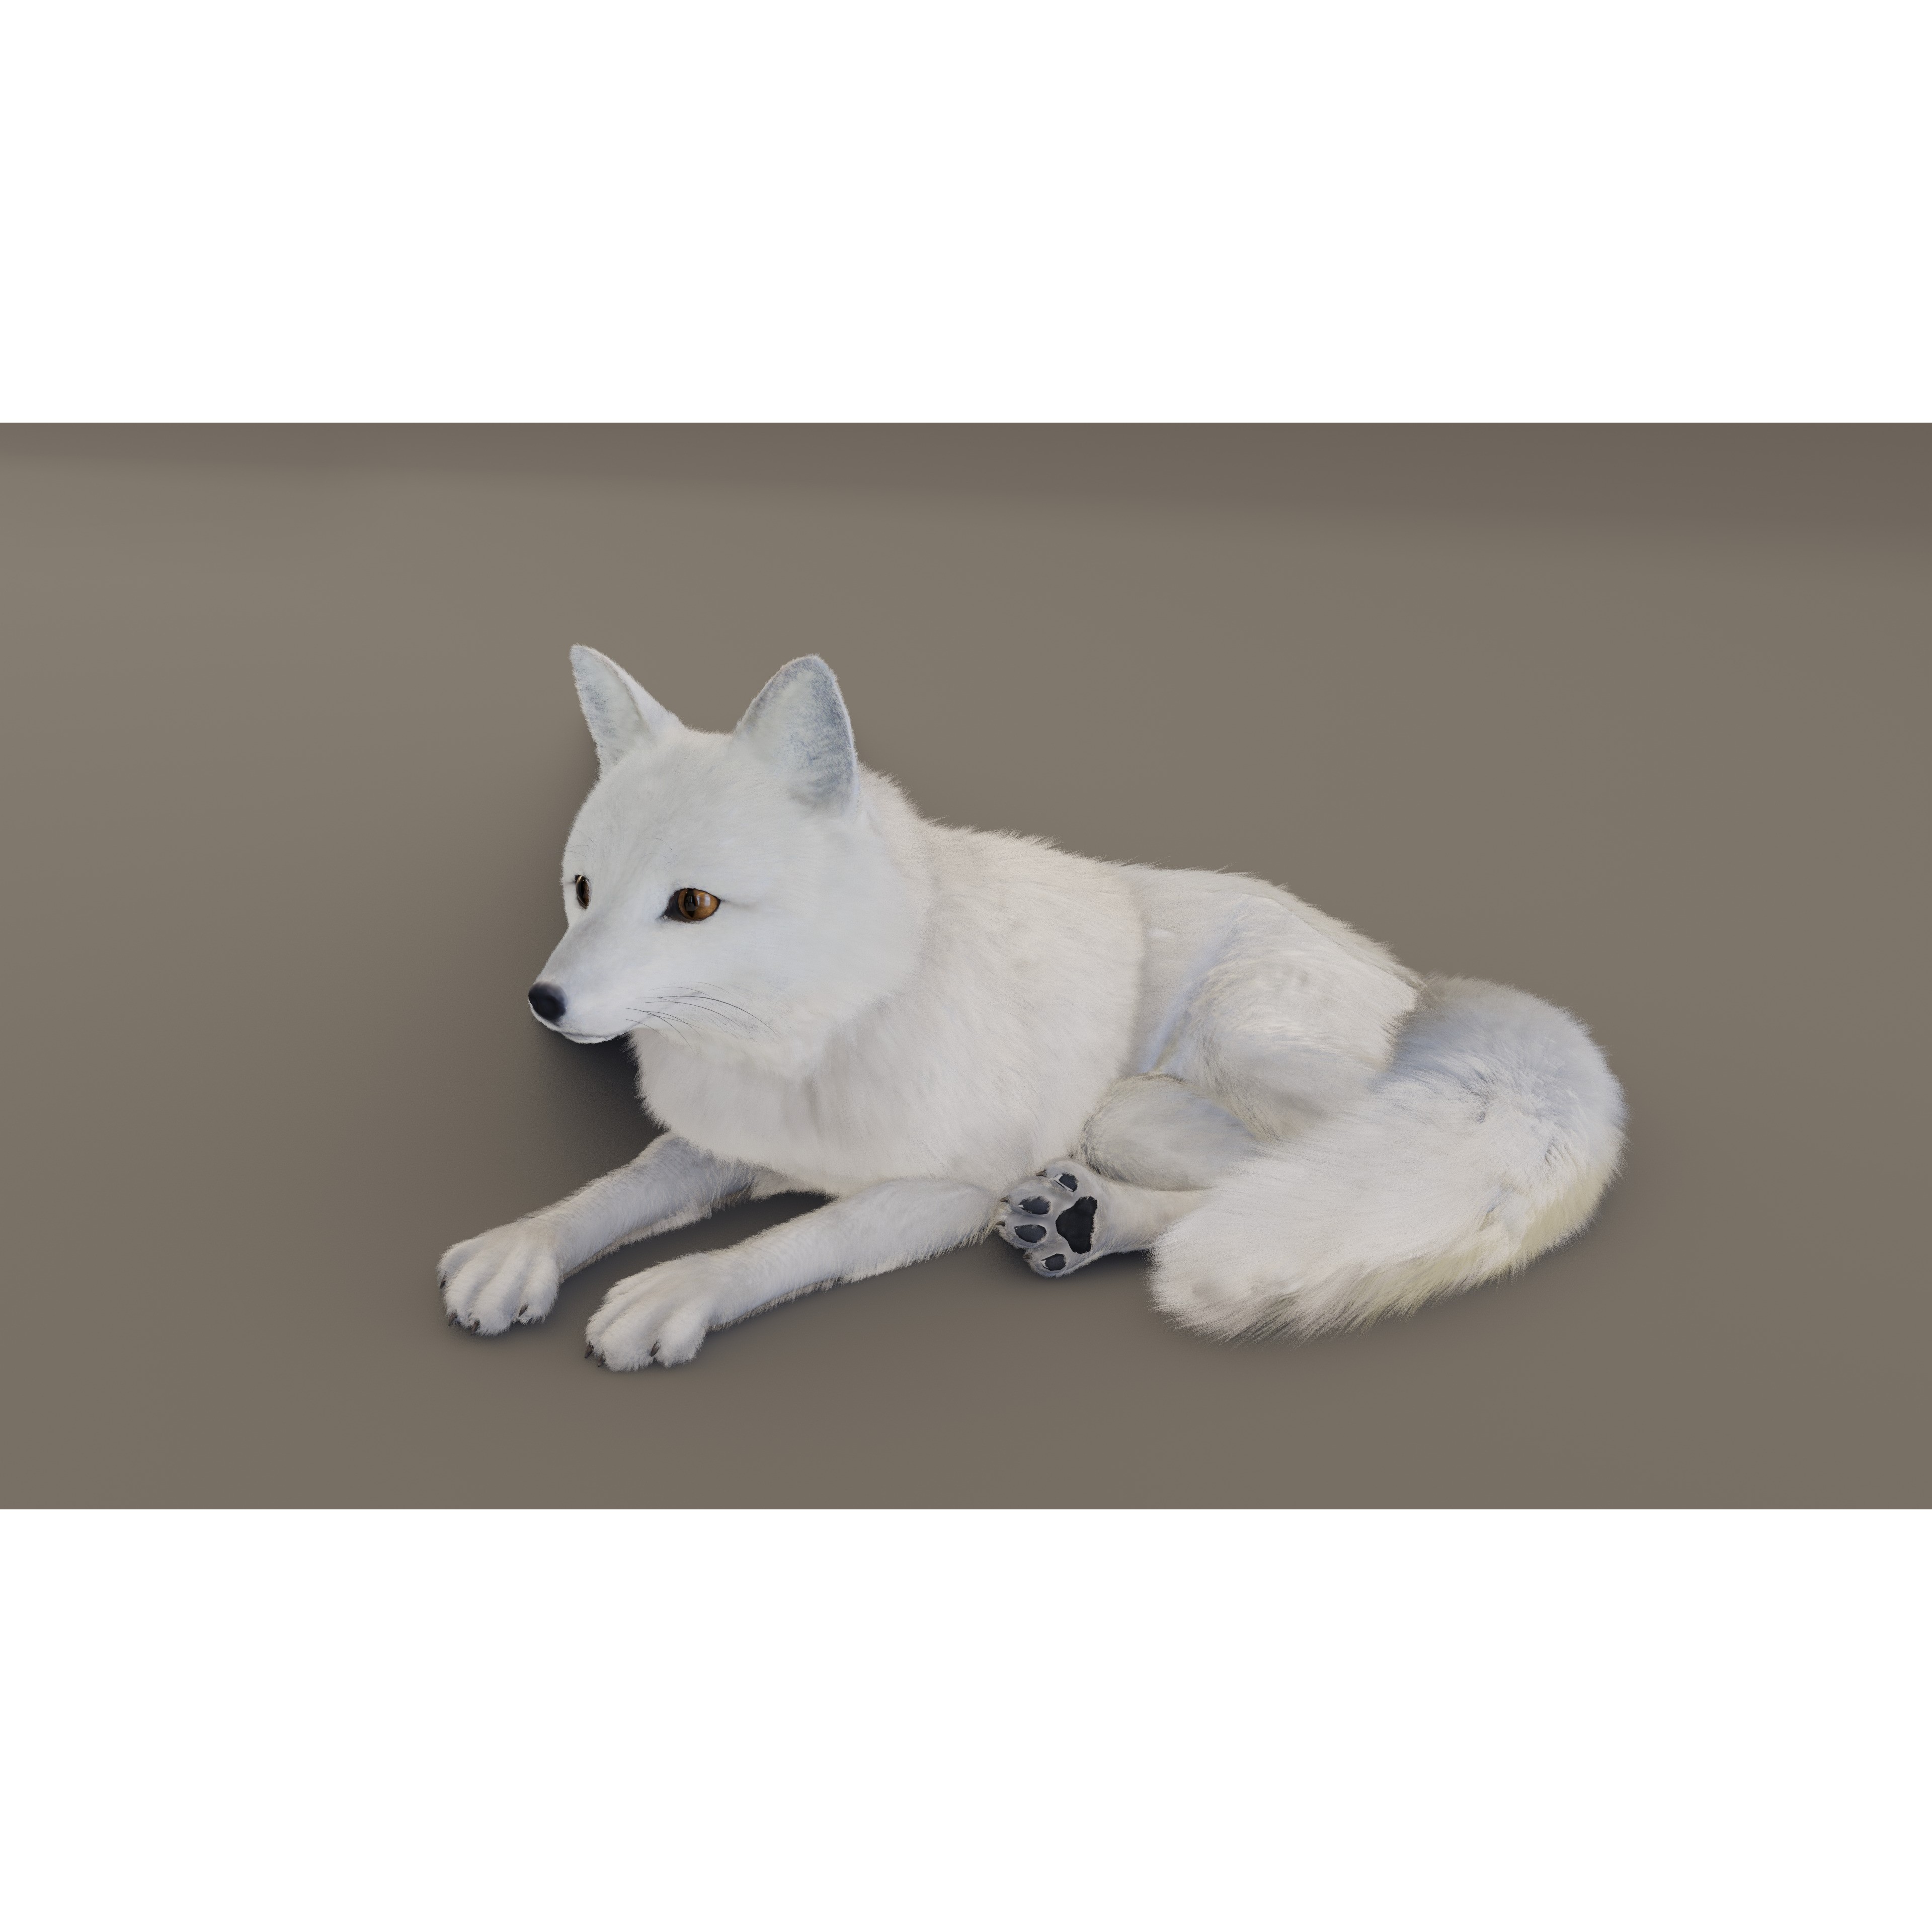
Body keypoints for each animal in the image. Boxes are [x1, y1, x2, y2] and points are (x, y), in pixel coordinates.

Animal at [439, 649, 1626, 1368]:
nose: (543, 1002)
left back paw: (1088, 1218)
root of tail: (1419, 990)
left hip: (1148, 1098)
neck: (819, 1031)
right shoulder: (731, 1145)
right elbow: (621, 1188)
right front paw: (523, 1248)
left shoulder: (950, 1187)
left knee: (1255, 1188)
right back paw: (1075, 1219)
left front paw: (686, 1285)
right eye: (581, 890)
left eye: (691, 904)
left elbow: (801, 1241)